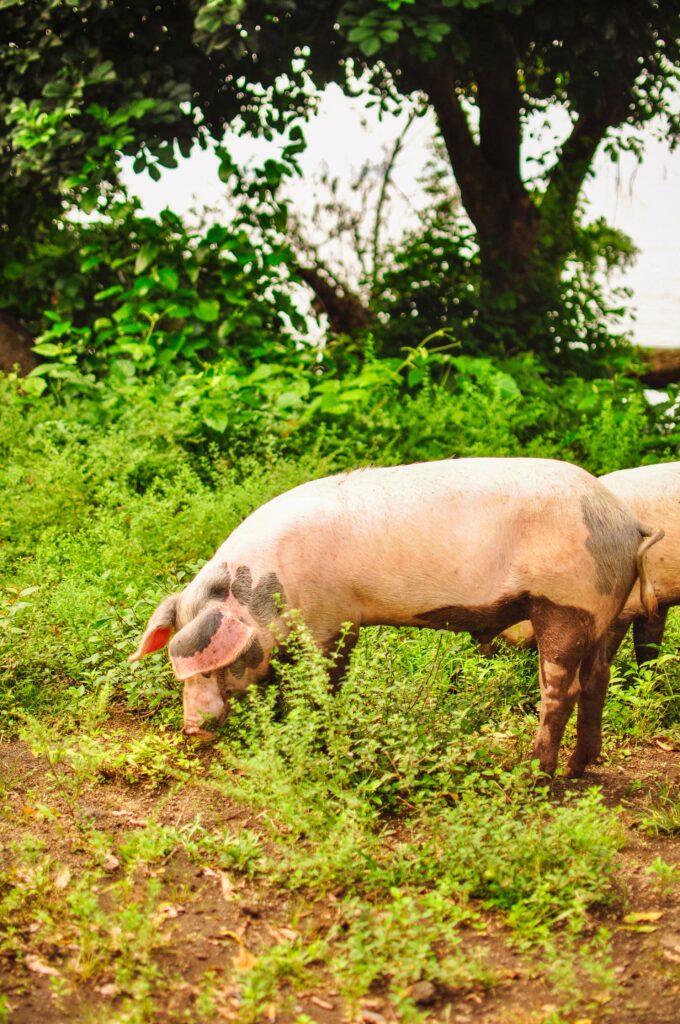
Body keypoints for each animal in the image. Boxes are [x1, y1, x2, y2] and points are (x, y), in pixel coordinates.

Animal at [130, 458, 659, 774]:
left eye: (215, 664)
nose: (192, 729)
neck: (266, 589)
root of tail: (625, 523)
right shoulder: (332, 622)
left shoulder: (326, 619)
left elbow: (320, 683)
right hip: (603, 610)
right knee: (597, 679)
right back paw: (579, 767)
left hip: (567, 601)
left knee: (560, 688)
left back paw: (530, 774)